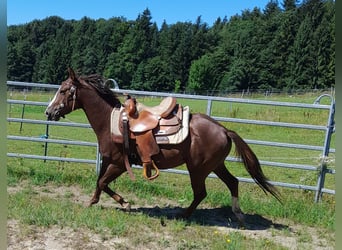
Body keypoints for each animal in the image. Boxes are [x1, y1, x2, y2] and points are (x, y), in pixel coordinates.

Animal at [45, 68, 280, 223]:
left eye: (64, 90)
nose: (49, 112)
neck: (110, 122)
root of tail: (223, 130)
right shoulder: (109, 160)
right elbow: (100, 182)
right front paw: (99, 200)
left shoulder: (119, 163)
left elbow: (103, 182)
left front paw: (122, 203)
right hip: (215, 166)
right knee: (233, 183)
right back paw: (238, 214)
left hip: (198, 169)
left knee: (201, 193)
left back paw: (183, 215)